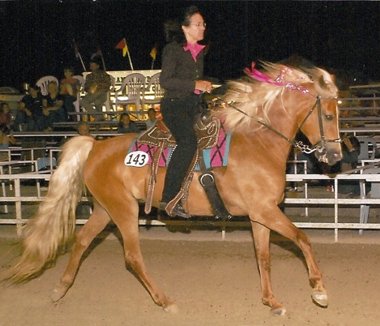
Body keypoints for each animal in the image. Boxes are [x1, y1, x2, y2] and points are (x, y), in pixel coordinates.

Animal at [2, 61, 342, 316]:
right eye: (328, 114)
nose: (335, 157)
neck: (257, 143)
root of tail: (95, 147)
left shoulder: (260, 215)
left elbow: (263, 256)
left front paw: (272, 302)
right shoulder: (266, 211)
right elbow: (303, 239)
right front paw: (320, 290)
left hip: (105, 209)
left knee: (83, 241)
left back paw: (60, 288)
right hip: (123, 211)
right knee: (132, 257)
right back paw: (165, 301)